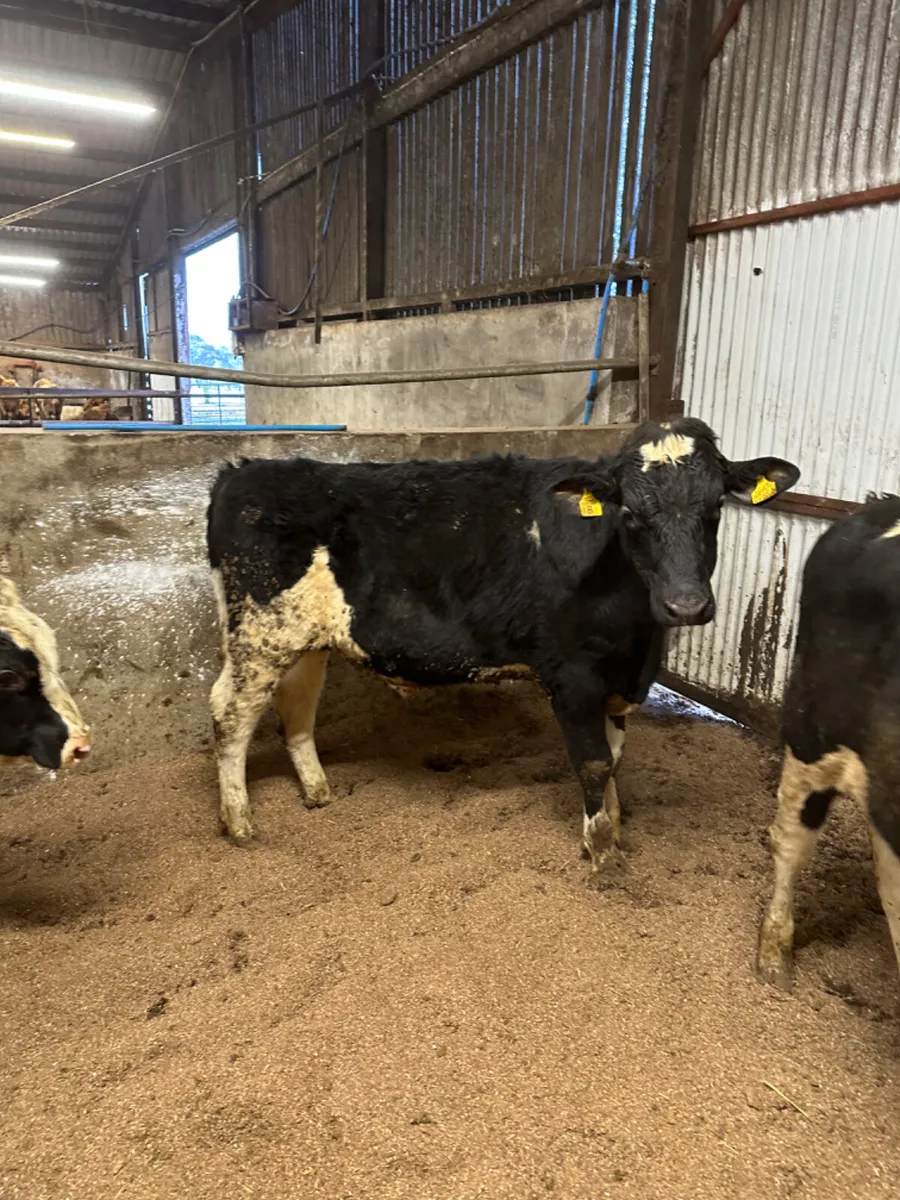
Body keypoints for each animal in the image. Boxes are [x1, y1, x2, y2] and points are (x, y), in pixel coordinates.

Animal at [206, 417, 800, 862]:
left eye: (715, 508)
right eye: (630, 513)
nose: (686, 605)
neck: (638, 637)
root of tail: (244, 471)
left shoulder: (619, 677)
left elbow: (614, 759)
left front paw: (613, 827)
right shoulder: (571, 675)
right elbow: (592, 762)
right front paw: (601, 851)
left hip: (305, 639)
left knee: (296, 709)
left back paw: (317, 791)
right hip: (257, 634)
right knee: (230, 713)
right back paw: (240, 823)